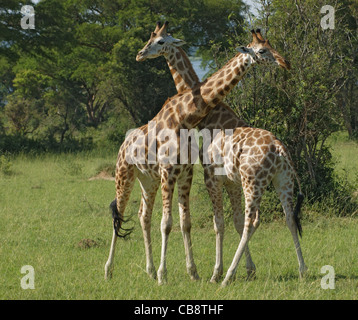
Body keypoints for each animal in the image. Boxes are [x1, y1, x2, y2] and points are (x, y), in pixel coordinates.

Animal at [104, 25, 290, 284]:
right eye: (263, 50)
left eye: (159, 41)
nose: (140, 54)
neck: (186, 117)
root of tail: (123, 144)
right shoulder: (172, 173)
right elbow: (170, 223)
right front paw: (166, 275)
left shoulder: (188, 174)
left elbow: (189, 223)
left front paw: (194, 272)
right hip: (126, 175)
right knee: (122, 215)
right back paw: (110, 270)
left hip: (148, 181)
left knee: (143, 216)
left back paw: (149, 270)